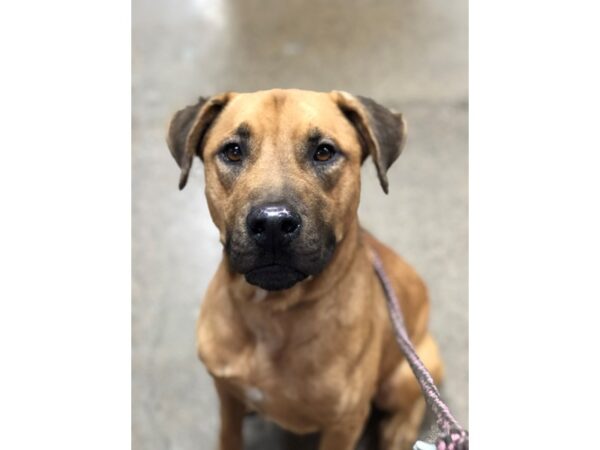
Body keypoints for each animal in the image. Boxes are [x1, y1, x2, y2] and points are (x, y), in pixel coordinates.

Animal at [166, 89, 442, 450]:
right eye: (233, 151)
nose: (272, 224)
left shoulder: (344, 424)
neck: (273, 312)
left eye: (324, 152)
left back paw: (399, 430)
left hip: (409, 372)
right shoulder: (226, 392)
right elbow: (229, 433)